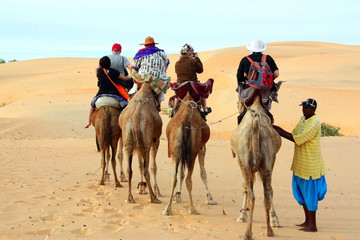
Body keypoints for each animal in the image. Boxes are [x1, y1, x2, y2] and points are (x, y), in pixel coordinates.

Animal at [163, 88, 217, 216]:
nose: (169, 103)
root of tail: (186, 119)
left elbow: (181, 173)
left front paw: (177, 196)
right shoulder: (202, 147)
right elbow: (203, 173)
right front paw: (210, 198)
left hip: (176, 149)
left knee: (174, 178)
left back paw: (167, 209)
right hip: (192, 151)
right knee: (189, 179)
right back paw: (193, 209)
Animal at [231, 91, 282, 239]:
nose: (239, 106)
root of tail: (255, 123)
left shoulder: (241, 163)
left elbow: (244, 188)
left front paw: (242, 215)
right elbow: (269, 191)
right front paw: (275, 219)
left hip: (246, 164)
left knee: (253, 196)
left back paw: (248, 233)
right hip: (268, 164)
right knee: (267, 194)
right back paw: (269, 231)